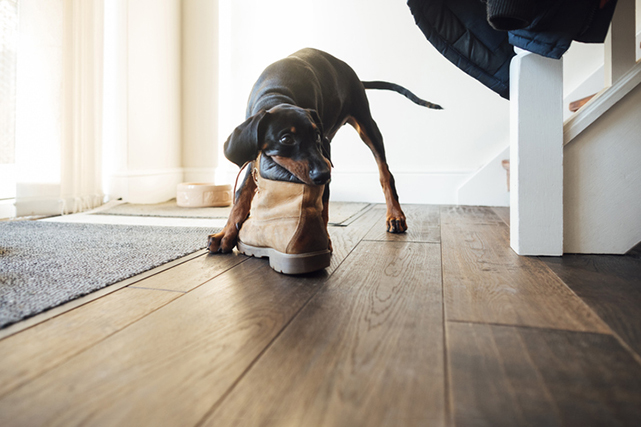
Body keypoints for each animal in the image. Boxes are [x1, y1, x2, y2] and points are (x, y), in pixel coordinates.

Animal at [209, 47, 440, 254]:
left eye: (317, 136)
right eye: (286, 139)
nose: (323, 175)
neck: (277, 94)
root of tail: (355, 76)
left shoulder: (325, 151)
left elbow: (323, 204)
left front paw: (321, 240)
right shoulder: (255, 155)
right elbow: (241, 195)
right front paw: (225, 235)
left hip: (366, 125)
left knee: (385, 173)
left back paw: (395, 215)